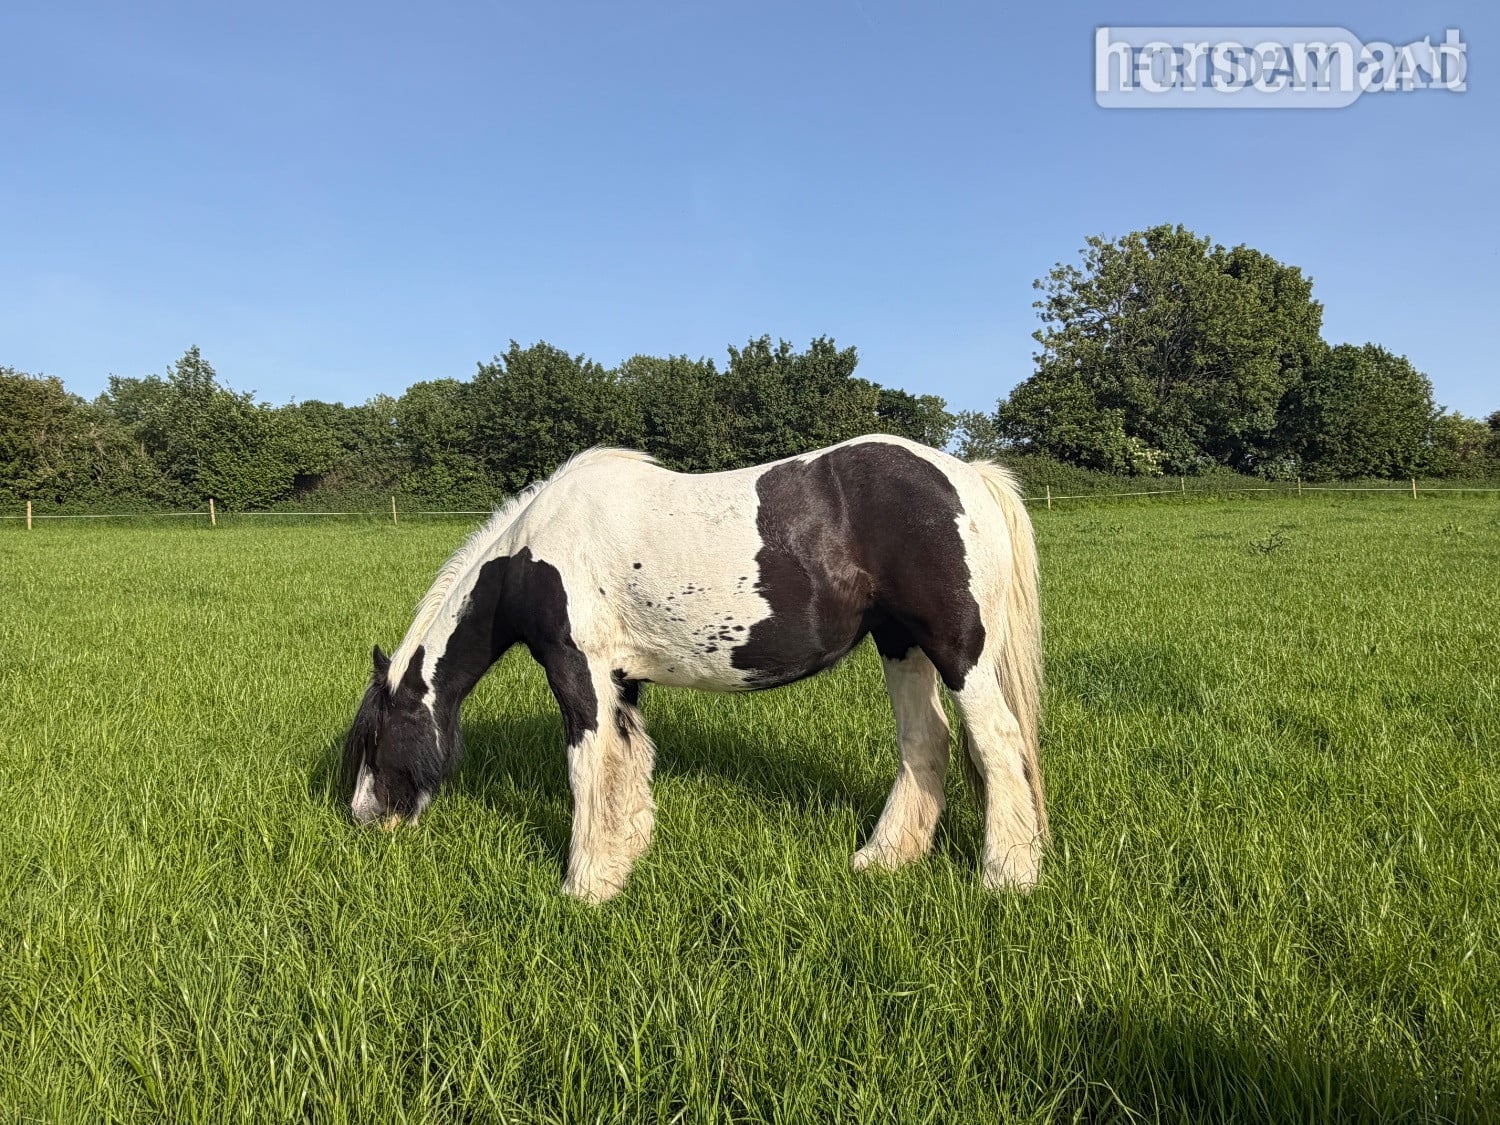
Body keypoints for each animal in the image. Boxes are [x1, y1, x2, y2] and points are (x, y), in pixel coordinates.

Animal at [344, 434, 1045, 903]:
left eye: (375, 739)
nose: (363, 818)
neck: (532, 556)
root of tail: (968, 474)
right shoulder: (621, 681)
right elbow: (627, 763)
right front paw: (624, 857)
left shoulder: (578, 670)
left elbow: (587, 766)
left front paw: (584, 885)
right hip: (900, 645)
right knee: (925, 742)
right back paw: (885, 858)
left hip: (958, 652)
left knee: (997, 742)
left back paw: (1007, 876)